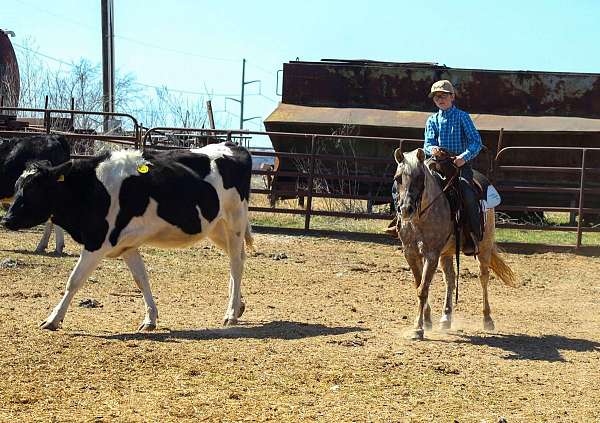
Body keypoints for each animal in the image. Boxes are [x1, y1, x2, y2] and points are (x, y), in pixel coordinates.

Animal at [1, 142, 253, 332]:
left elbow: (74, 280)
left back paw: (231, 313)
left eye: (34, 189)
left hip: (235, 221)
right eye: (17, 185)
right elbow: (141, 279)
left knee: (236, 264)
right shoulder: (127, 245)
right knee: (237, 260)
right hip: (217, 228)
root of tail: (231, 145)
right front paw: (150, 318)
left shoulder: (97, 241)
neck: (92, 187)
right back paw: (238, 304)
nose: (7, 219)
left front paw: (53, 319)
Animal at [394, 148, 516, 342]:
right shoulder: (411, 254)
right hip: (447, 253)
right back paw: (446, 317)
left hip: (484, 248)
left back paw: (487, 319)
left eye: (420, 178)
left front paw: (418, 329)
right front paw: (427, 321)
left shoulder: (432, 254)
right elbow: (420, 285)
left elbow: (423, 289)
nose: (406, 209)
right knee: (450, 280)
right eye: (398, 178)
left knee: (483, 278)